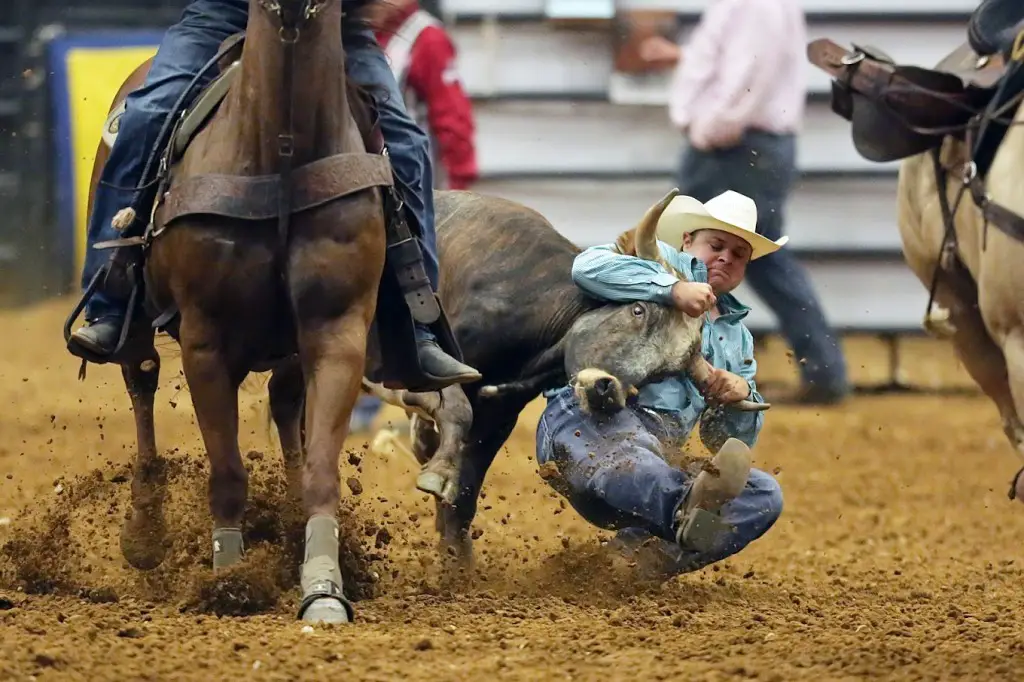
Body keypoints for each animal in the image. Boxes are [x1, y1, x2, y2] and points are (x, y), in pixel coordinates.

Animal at [74, 0, 393, 622]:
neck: (281, 149)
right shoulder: (207, 341)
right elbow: (226, 473)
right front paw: (229, 579)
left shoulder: (337, 330)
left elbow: (321, 468)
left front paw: (323, 587)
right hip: (138, 323)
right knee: (141, 380)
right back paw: (145, 532)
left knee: (287, 403)